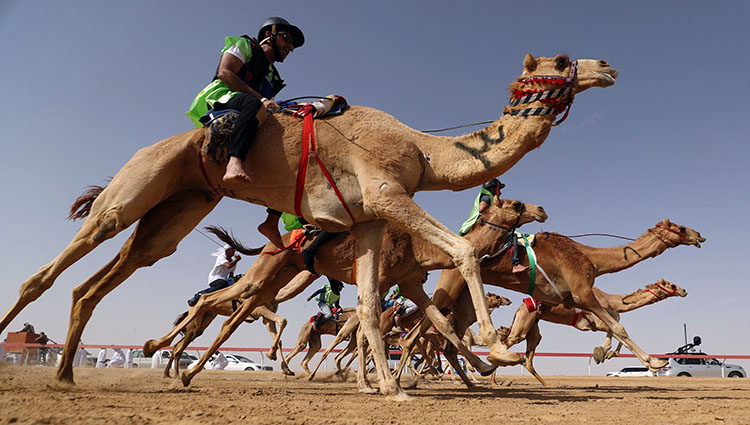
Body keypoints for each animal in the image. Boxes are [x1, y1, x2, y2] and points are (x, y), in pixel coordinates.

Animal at [147, 195, 548, 394]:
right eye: (515, 205)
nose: (541, 210)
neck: (417, 246)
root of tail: (274, 241)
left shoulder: (410, 283)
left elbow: (441, 324)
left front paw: (487, 365)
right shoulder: (383, 280)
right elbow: (369, 329)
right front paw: (381, 385)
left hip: (278, 276)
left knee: (230, 315)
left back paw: (186, 372)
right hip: (269, 269)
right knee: (212, 303)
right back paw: (163, 354)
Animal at [402, 219, 708, 374]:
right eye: (680, 228)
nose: (699, 235)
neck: (592, 258)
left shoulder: (578, 302)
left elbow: (614, 329)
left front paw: (602, 353)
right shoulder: (583, 294)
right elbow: (619, 327)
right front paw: (655, 361)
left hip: (461, 296)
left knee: (432, 332)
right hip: (453, 283)